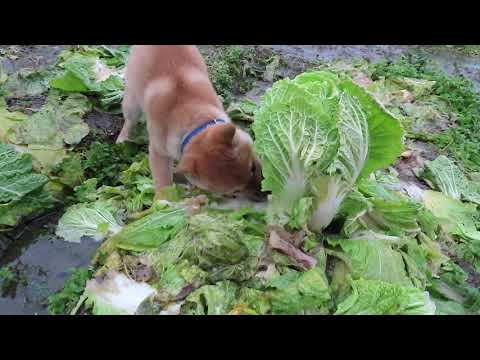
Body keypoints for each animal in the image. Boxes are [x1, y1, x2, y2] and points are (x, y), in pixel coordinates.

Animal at [117, 45, 266, 201]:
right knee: (129, 121)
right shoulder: (158, 154)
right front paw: (162, 201)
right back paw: (122, 140)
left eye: (253, 168)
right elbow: (162, 180)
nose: (264, 193)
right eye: (235, 192)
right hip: (132, 103)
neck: (193, 120)